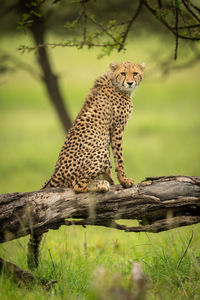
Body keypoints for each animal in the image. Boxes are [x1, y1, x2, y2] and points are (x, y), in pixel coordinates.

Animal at [42, 61, 145, 193]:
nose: (130, 83)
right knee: (77, 185)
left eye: (135, 73)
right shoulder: (117, 128)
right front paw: (124, 181)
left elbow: (110, 165)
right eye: (123, 73)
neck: (115, 83)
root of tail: (54, 175)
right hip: (100, 152)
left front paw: (112, 181)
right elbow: (119, 158)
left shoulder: (108, 134)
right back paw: (100, 185)